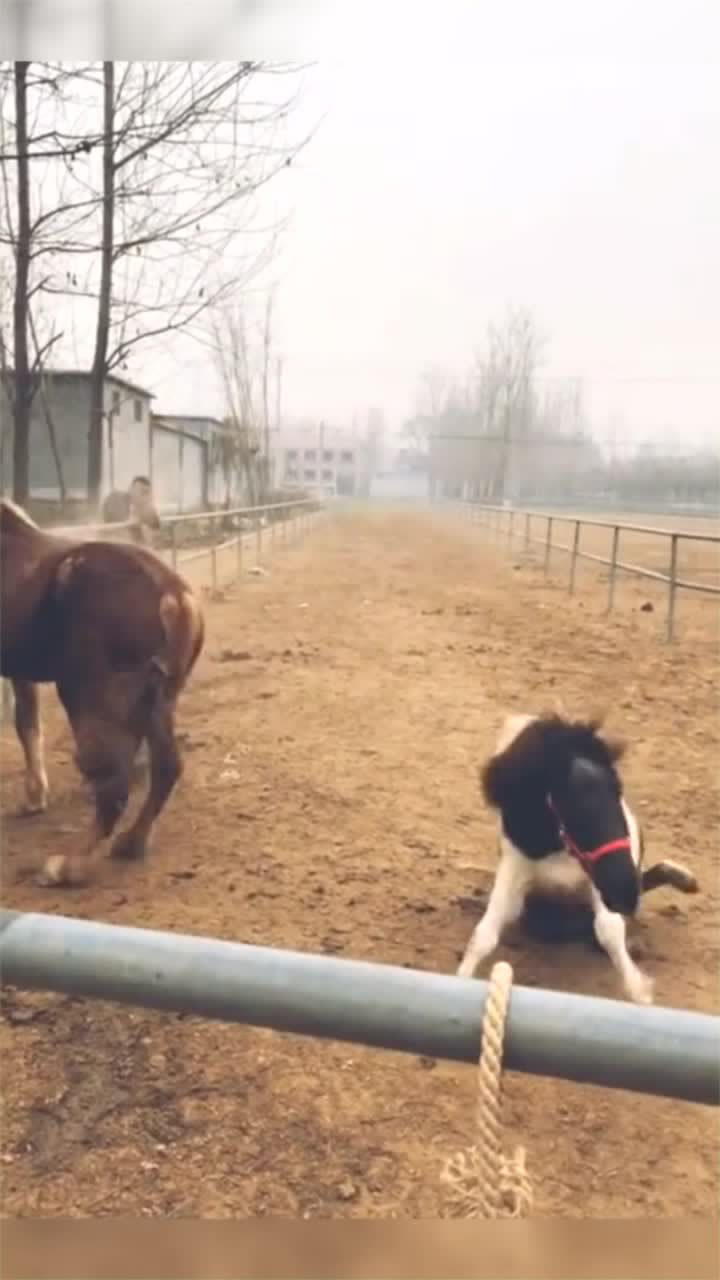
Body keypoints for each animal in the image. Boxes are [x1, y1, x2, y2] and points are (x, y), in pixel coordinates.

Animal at [1, 499, 203, 890]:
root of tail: (173, 596)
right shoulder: (20, 671)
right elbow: (27, 724)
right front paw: (34, 799)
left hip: (88, 699)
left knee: (113, 785)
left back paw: (67, 867)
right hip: (158, 701)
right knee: (166, 767)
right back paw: (131, 843)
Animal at [456, 716, 696, 1003]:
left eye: (618, 790)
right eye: (568, 805)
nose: (625, 895)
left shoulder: (602, 877)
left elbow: (609, 929)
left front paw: (641, 995)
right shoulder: (515, 864)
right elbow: (484, 935)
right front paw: (460, 979)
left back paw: (682, 882)